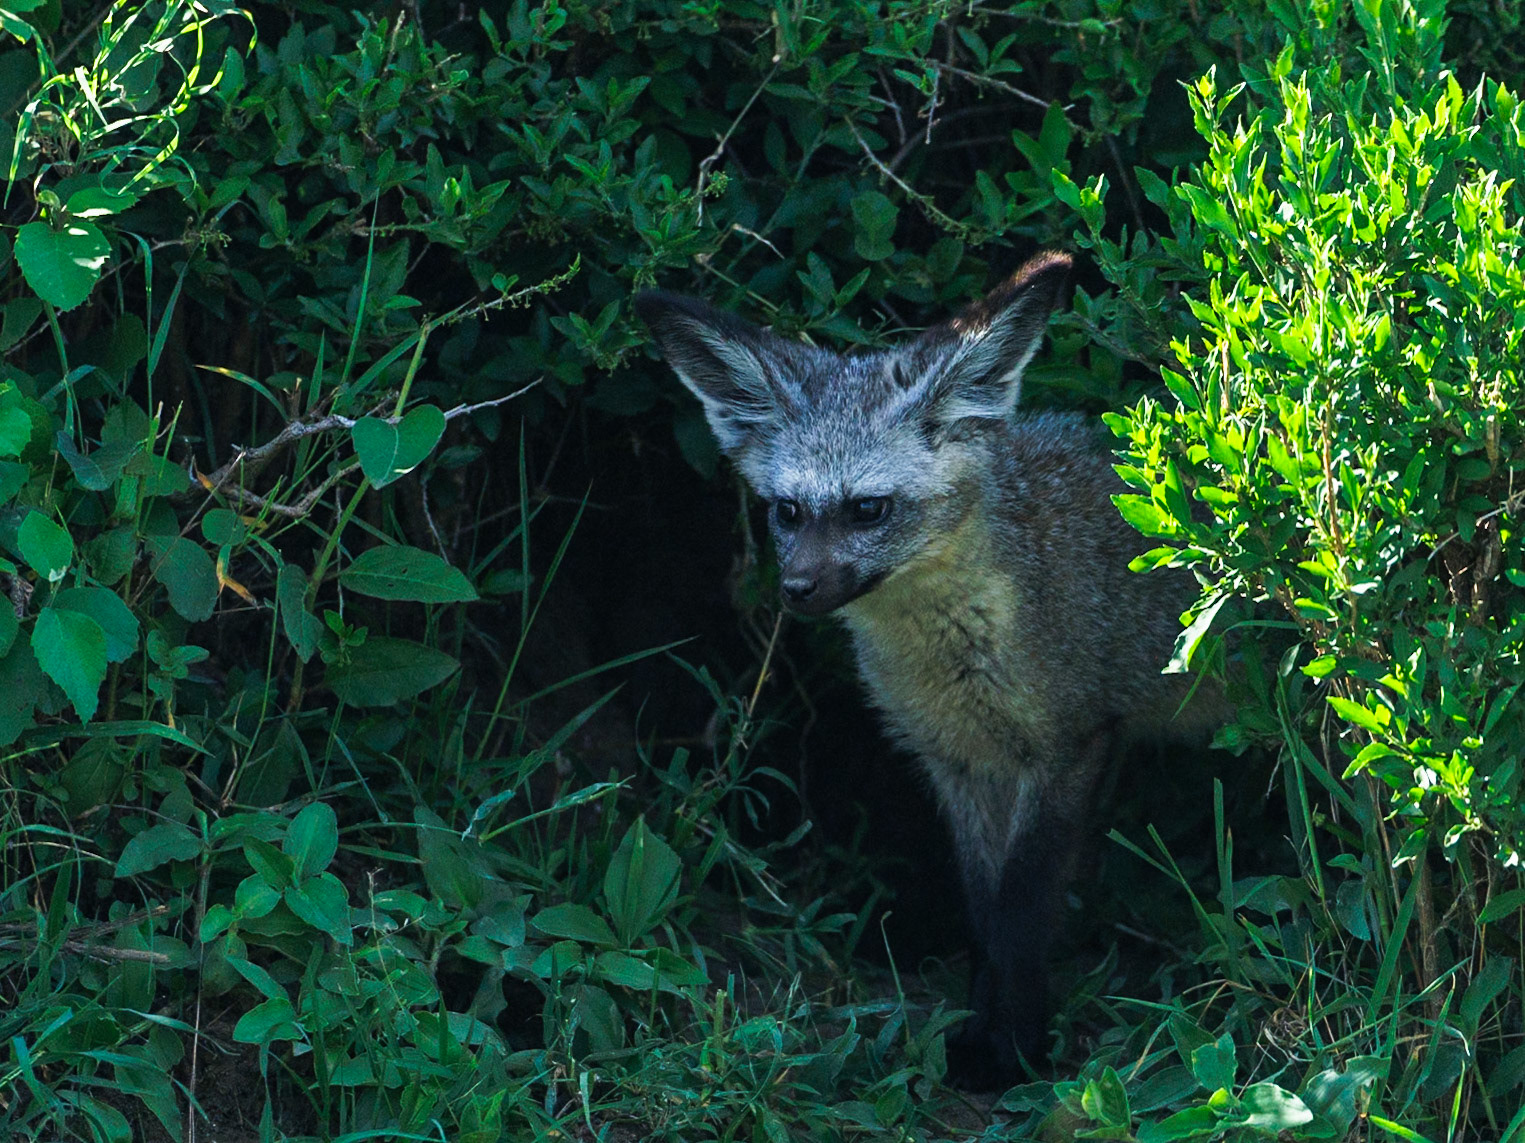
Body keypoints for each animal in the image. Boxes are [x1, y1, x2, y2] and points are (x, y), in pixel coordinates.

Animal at [634, 251, 1215, 1088]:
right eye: (786, 511)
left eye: (867, 509)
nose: (795, 590)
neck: (955, 657)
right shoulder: (958, 762)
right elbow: (980, 909)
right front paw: (980, 1030)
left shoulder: (1069, 744)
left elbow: (1020, 908)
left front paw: (1015, 1051)